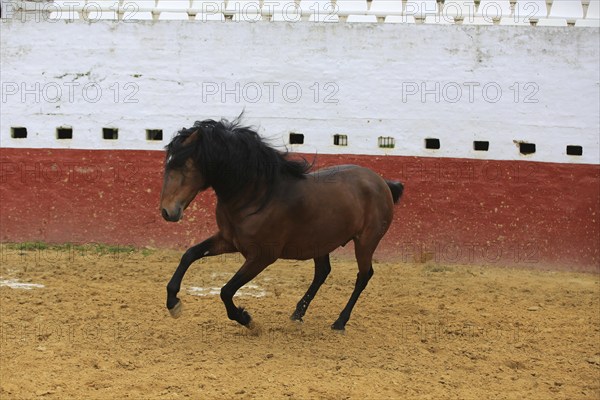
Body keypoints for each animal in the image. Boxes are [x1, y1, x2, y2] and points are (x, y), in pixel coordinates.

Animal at [159, 119, 404, 332]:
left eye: (184, 165)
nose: (167, 211)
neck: (256, 196)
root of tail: (382, 182)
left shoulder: (262, 256)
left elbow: (226, 291)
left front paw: (246, 319)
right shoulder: (228, 240)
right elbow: (190, 255)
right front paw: (173, 303)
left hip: (366, 242)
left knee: (363, 276)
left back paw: (340, 322)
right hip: (320, 243)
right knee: (322, 272)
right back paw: (298, 313)